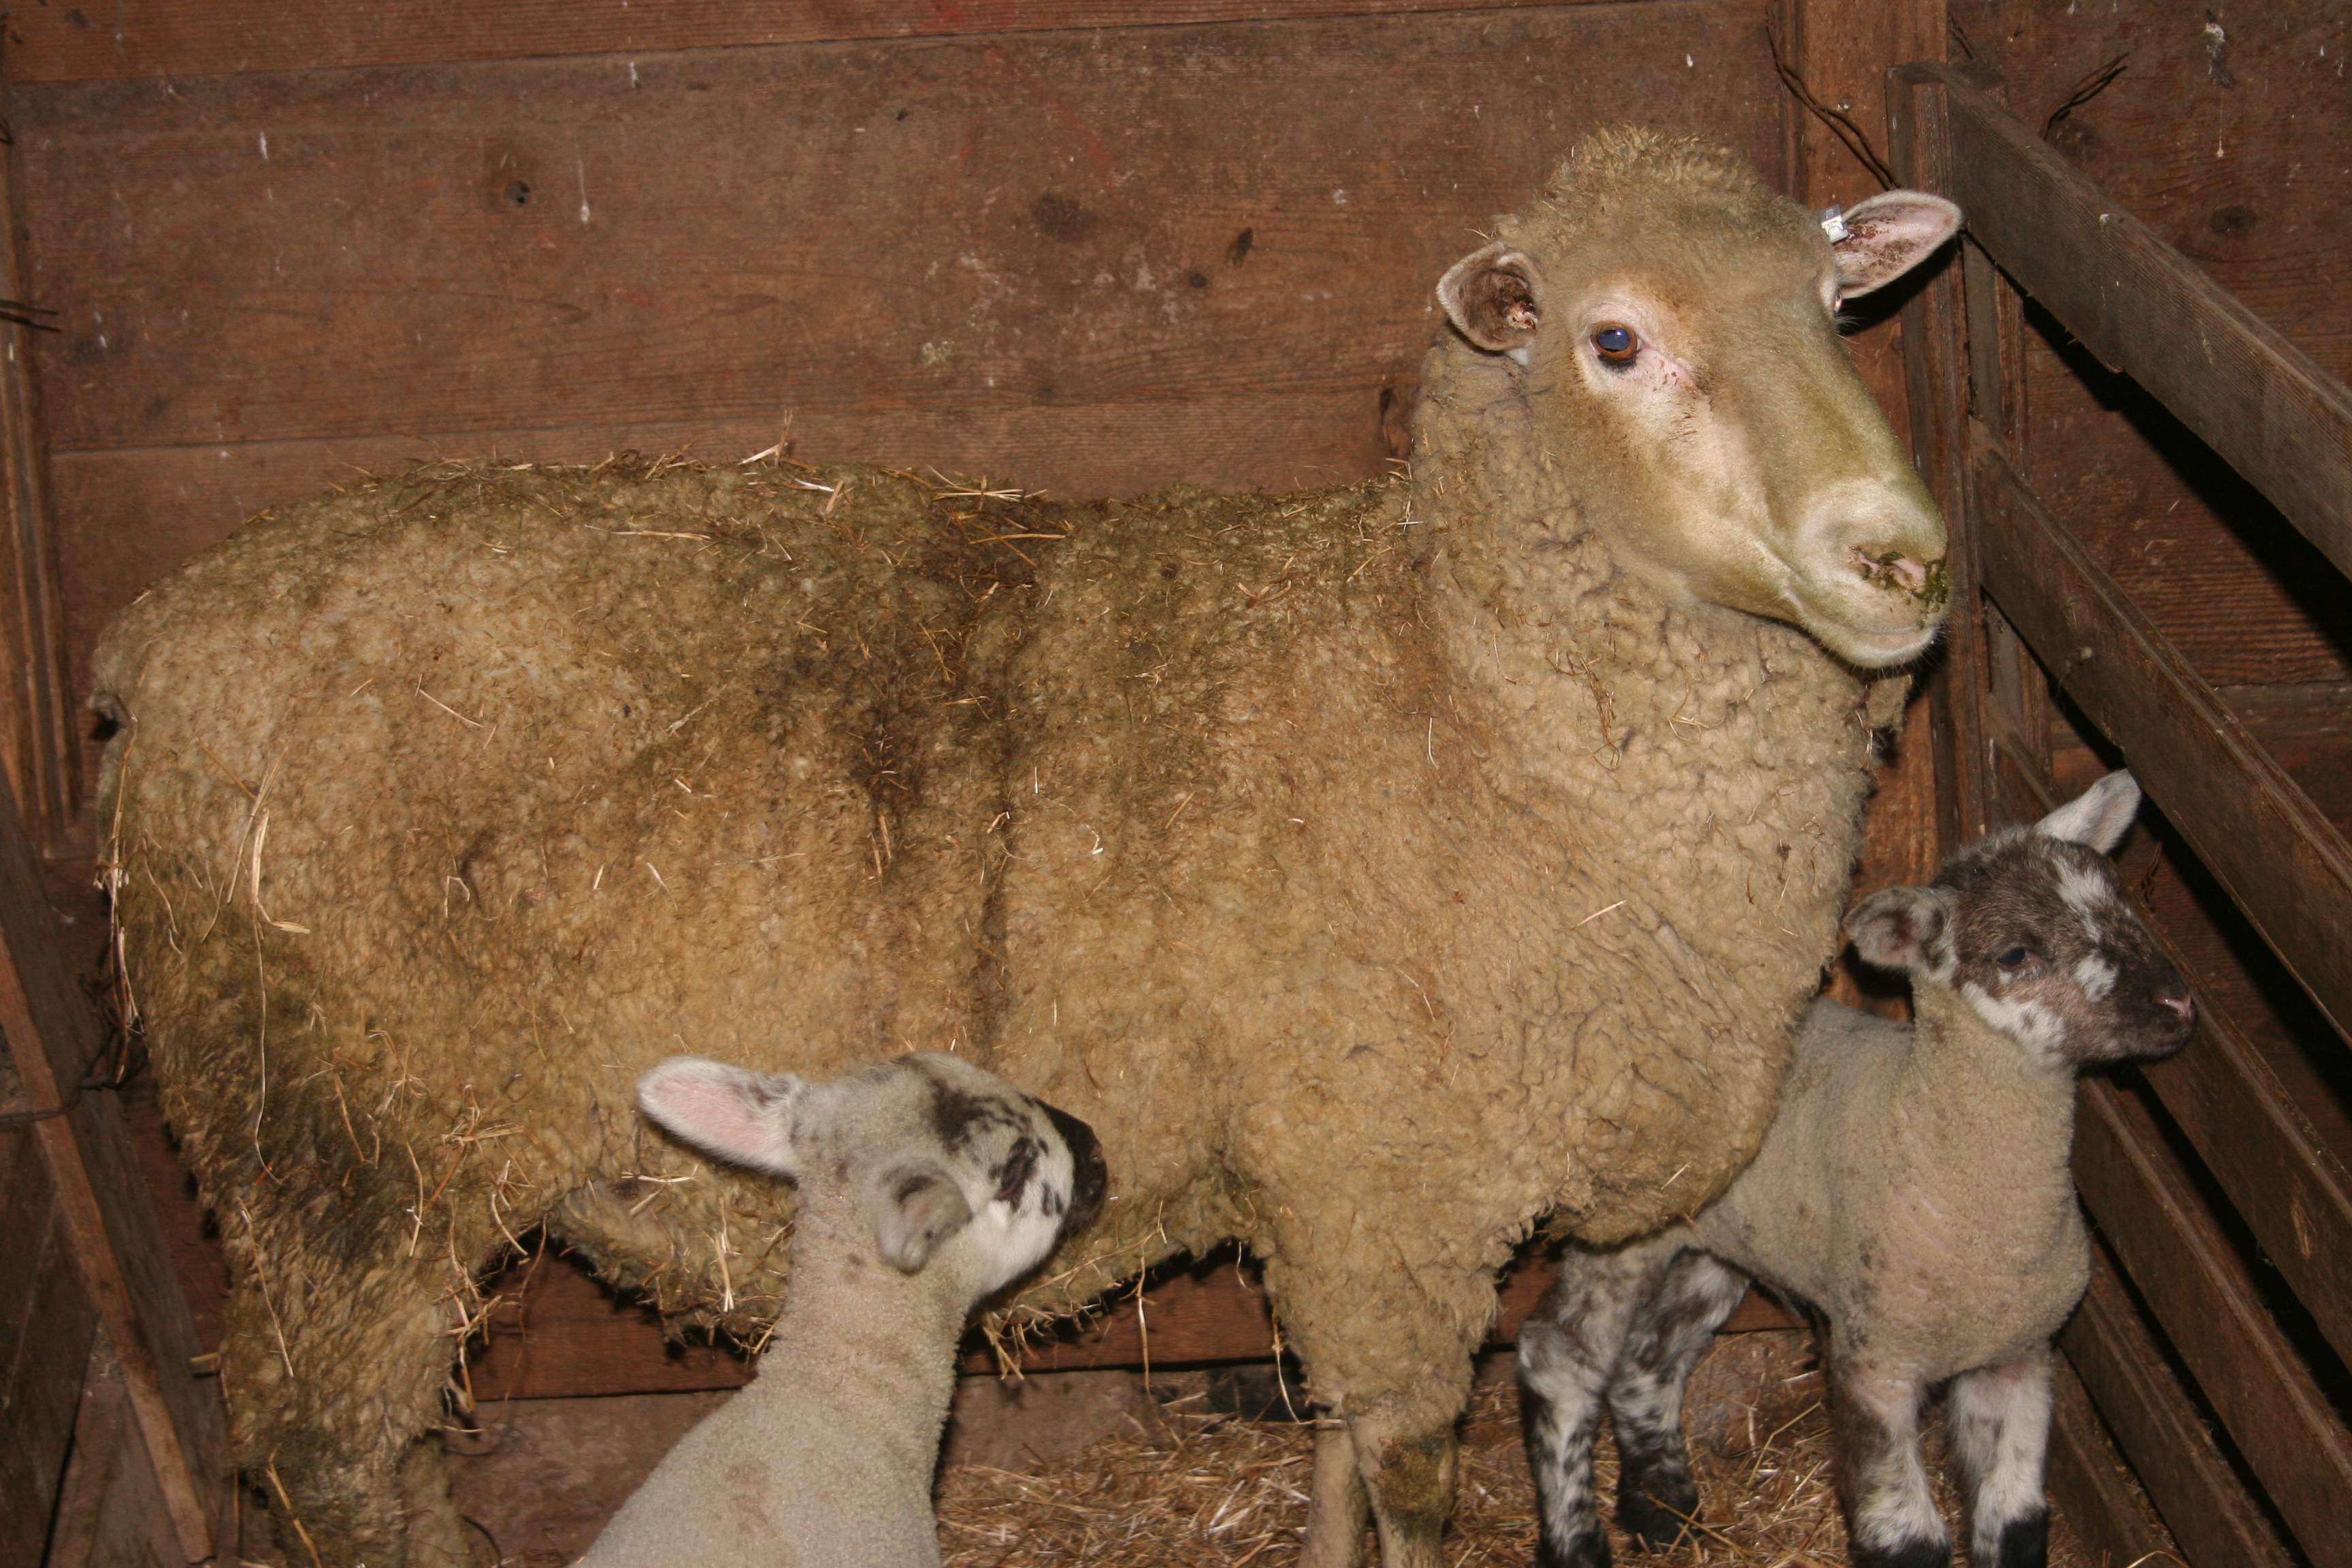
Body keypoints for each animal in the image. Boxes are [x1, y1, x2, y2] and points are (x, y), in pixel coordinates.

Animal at [1515, 770, 2197, 1568]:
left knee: (1650, 1359)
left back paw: (1663, 1509)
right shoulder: (1875, 1360)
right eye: (2015, 954)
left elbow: (2016, 1524)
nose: (2176, 1001)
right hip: (1623, 1229)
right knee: (1561, 1361)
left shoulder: (2018, 1355)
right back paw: (1578, 1539)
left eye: (2119, 900)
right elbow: (1907, 1540)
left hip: (1731, 1239)